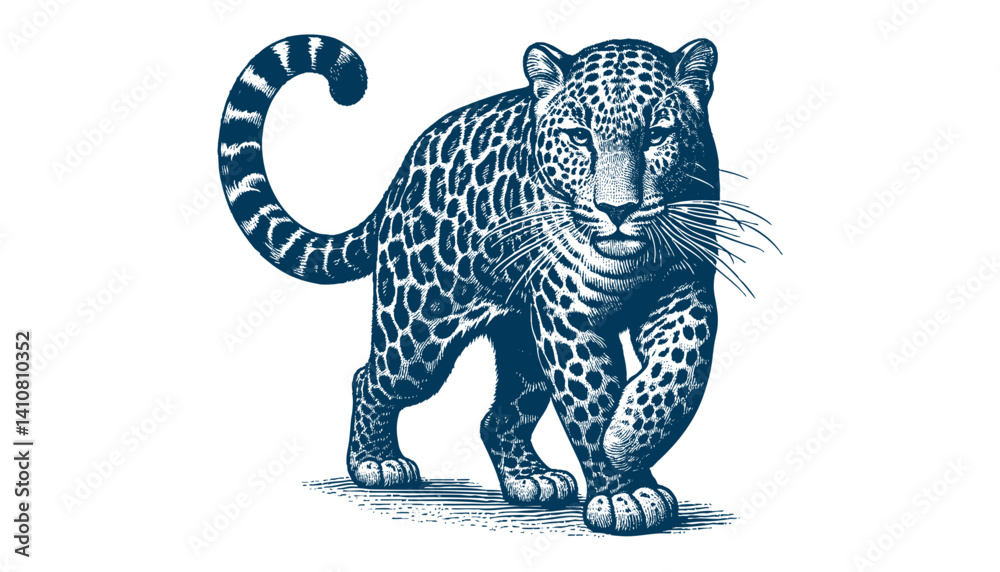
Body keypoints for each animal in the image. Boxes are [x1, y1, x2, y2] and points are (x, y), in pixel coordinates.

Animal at [218, 34, 766, 535]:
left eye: (656, 134)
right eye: (580, 137)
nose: (617, 210)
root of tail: (398, 180)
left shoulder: (684, 293)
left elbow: (681, 370)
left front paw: (628, 438)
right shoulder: (568, 318)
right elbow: (591, 398)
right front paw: (623, 489)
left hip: (521, 335)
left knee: (500, 415)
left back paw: (532, 478)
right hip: (417, 339)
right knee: (370, 378)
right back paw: (376, 462)